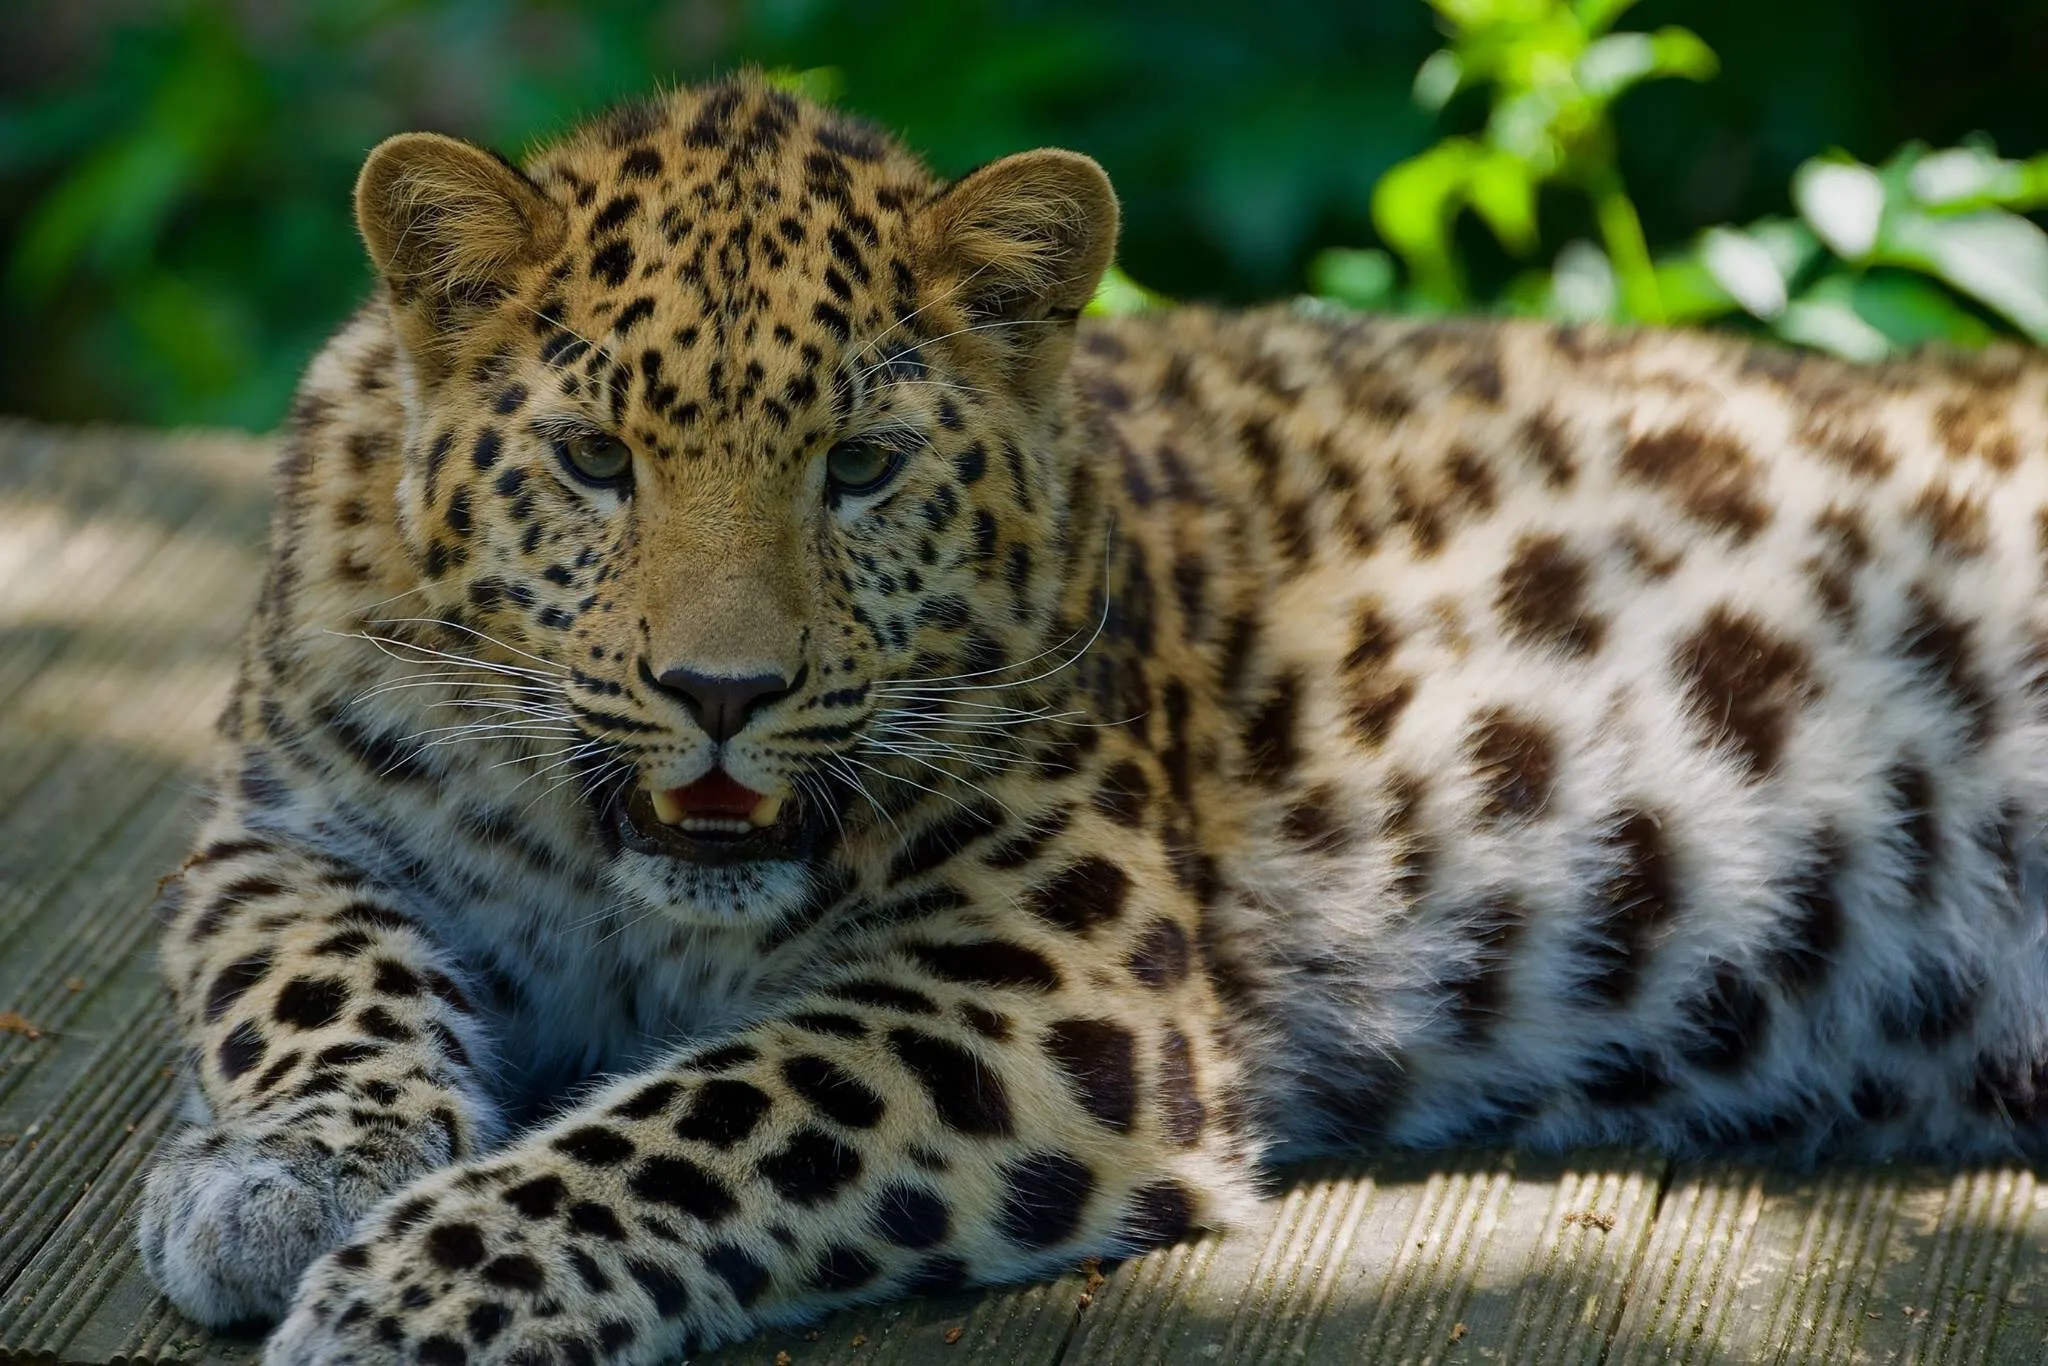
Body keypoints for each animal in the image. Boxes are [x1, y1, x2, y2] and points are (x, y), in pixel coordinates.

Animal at [132, 73, 2048, 1365]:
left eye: (861, 467)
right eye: (595, 460)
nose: (721, 696)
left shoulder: (1054, 994)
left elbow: (695, 1124)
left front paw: (413, 1287)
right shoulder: (280, 819)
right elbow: (301, 972)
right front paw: (285, 1169)